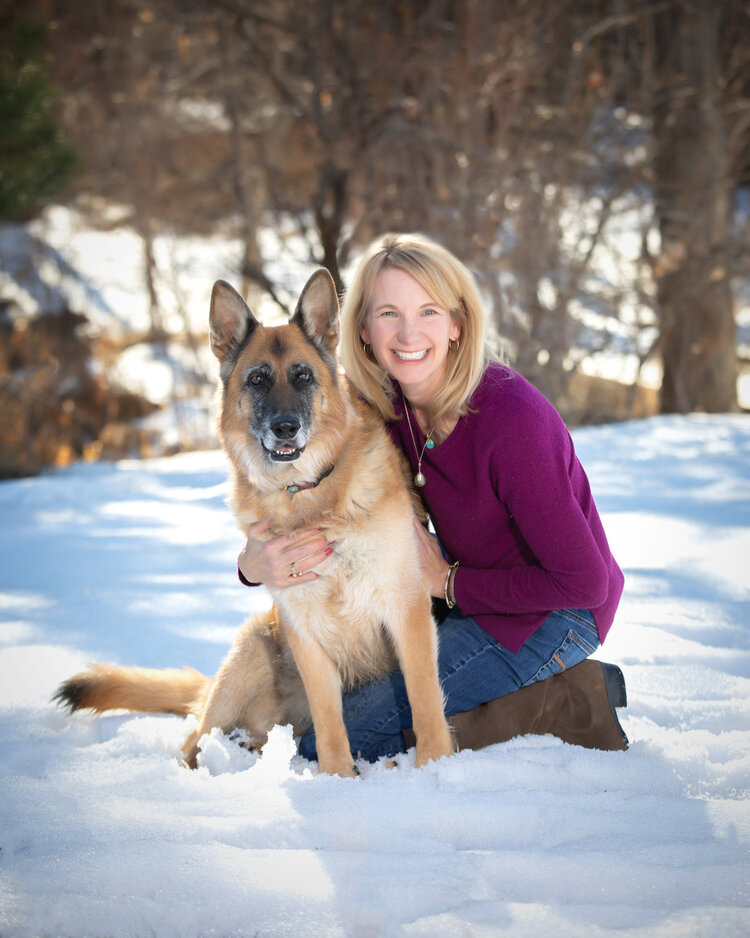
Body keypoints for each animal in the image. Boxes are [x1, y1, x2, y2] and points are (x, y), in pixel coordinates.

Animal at [55, 269, 454, 777]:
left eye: (302, 376)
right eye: (258, 379)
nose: (285, 427)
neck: (306, 495)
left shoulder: (406, 610)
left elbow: (423, 700)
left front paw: (436, 767)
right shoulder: (304, 632)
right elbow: (330, 723)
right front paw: (337, 780)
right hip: (251, 652)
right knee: (194, 740)